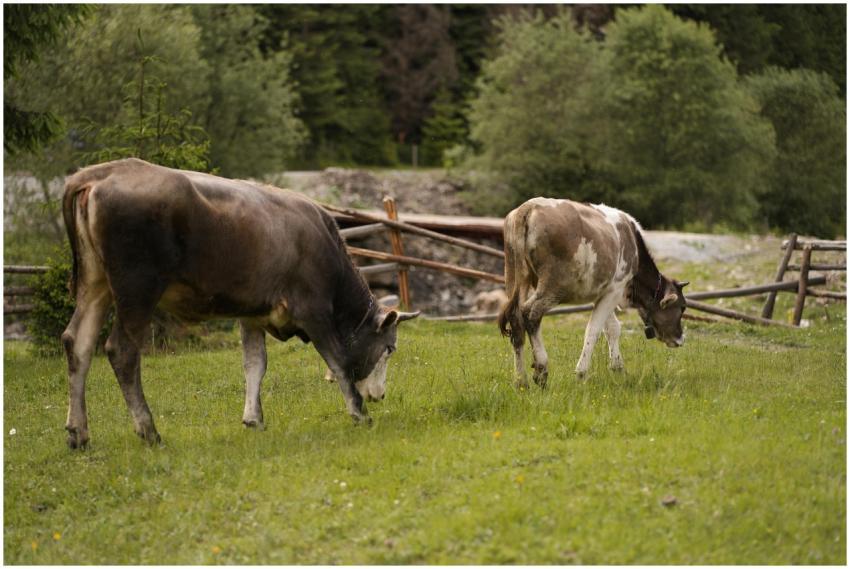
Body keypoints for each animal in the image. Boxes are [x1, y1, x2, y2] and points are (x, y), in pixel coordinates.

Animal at [60, 158, 419, 449]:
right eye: (390, 349)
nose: (381, 395)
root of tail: (101, 172)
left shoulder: (253, 315)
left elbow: (254, 364)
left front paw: (253, 419)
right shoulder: (313, 310)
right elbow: (339, 361)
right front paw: (360, 413)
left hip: (95, 284)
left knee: (78, 343)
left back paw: (79, 433)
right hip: (137, 289)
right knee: (122, 351)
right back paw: (149, 431)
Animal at [498, 197, 688, 387]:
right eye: (682, 307)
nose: (680, 339)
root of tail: (529, 206)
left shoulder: (603, 293)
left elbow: (612, 328)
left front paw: (618, 368)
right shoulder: (616, 289)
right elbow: (594, 330)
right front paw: (581, 373)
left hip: (515, 278)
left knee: (516, 319)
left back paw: (521, 381)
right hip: (553, 285)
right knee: (531, 313)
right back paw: (541, 370)